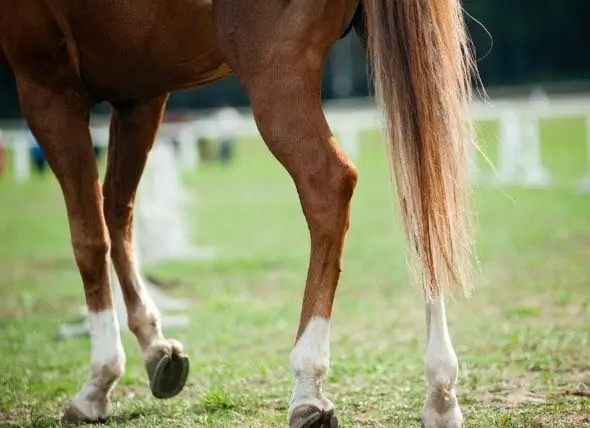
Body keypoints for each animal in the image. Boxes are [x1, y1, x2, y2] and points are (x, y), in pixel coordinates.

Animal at [0, 0, 478, 426]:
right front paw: (156, 349)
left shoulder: (47, 87)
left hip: (275, 75)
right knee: (421, 189)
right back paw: (440, 392)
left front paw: (99, 381)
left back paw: (307, 384)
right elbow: (119, 215)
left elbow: (89, 236)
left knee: (329, 186)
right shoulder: (139, 94)